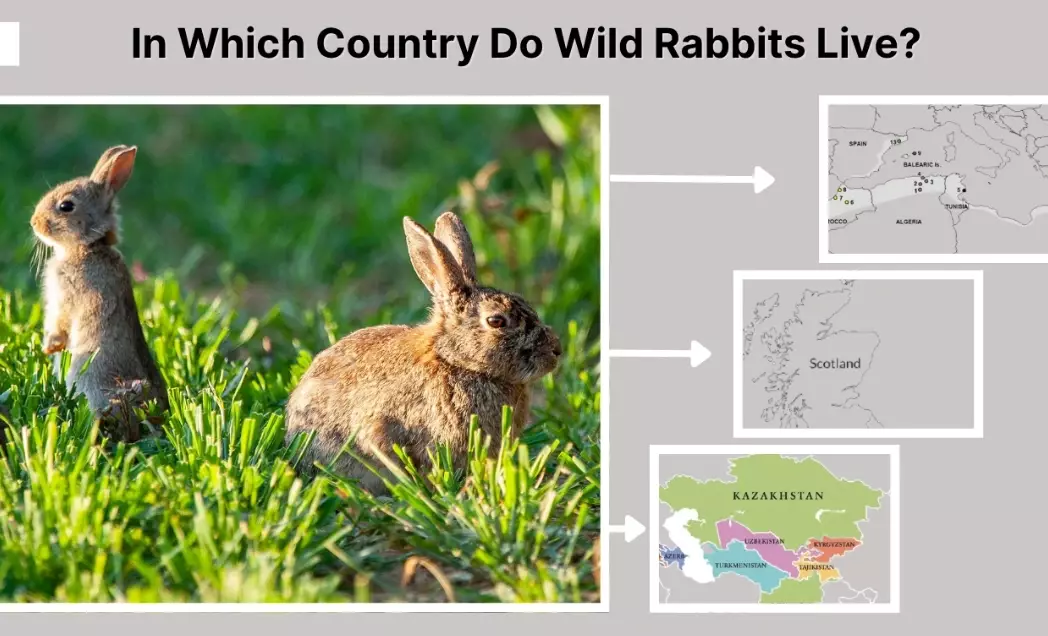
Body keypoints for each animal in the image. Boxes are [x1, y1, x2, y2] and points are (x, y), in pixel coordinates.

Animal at [30, 145, 169, 431]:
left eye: (66, 206)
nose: (34, 222)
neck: (87, 246)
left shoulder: (67, 298)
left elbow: (59, 323)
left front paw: (50, 347)